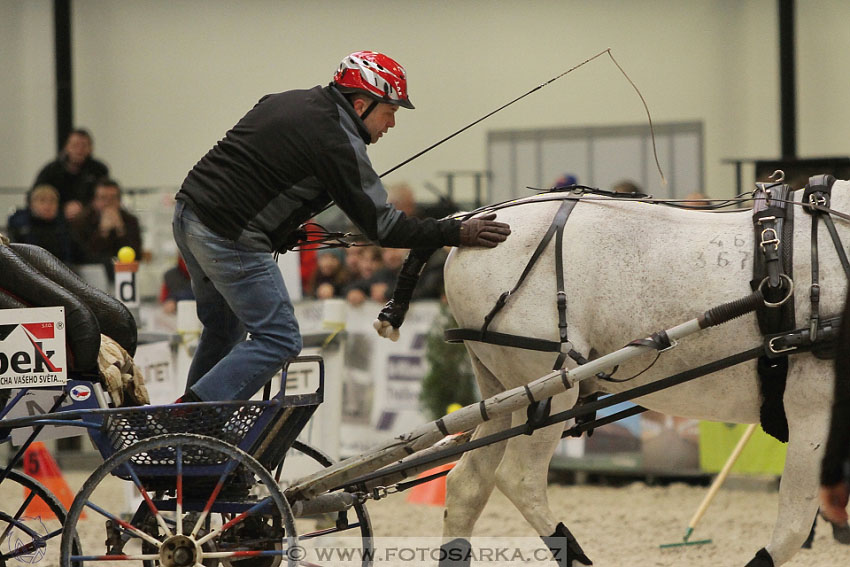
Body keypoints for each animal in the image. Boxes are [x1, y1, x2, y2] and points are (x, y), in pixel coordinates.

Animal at [434, 182, 844, 567]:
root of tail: (469, 224)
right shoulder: (813, 410)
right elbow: (794, 525)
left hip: (503, 393)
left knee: (467, 485)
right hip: (550, 389)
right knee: (519, 479)